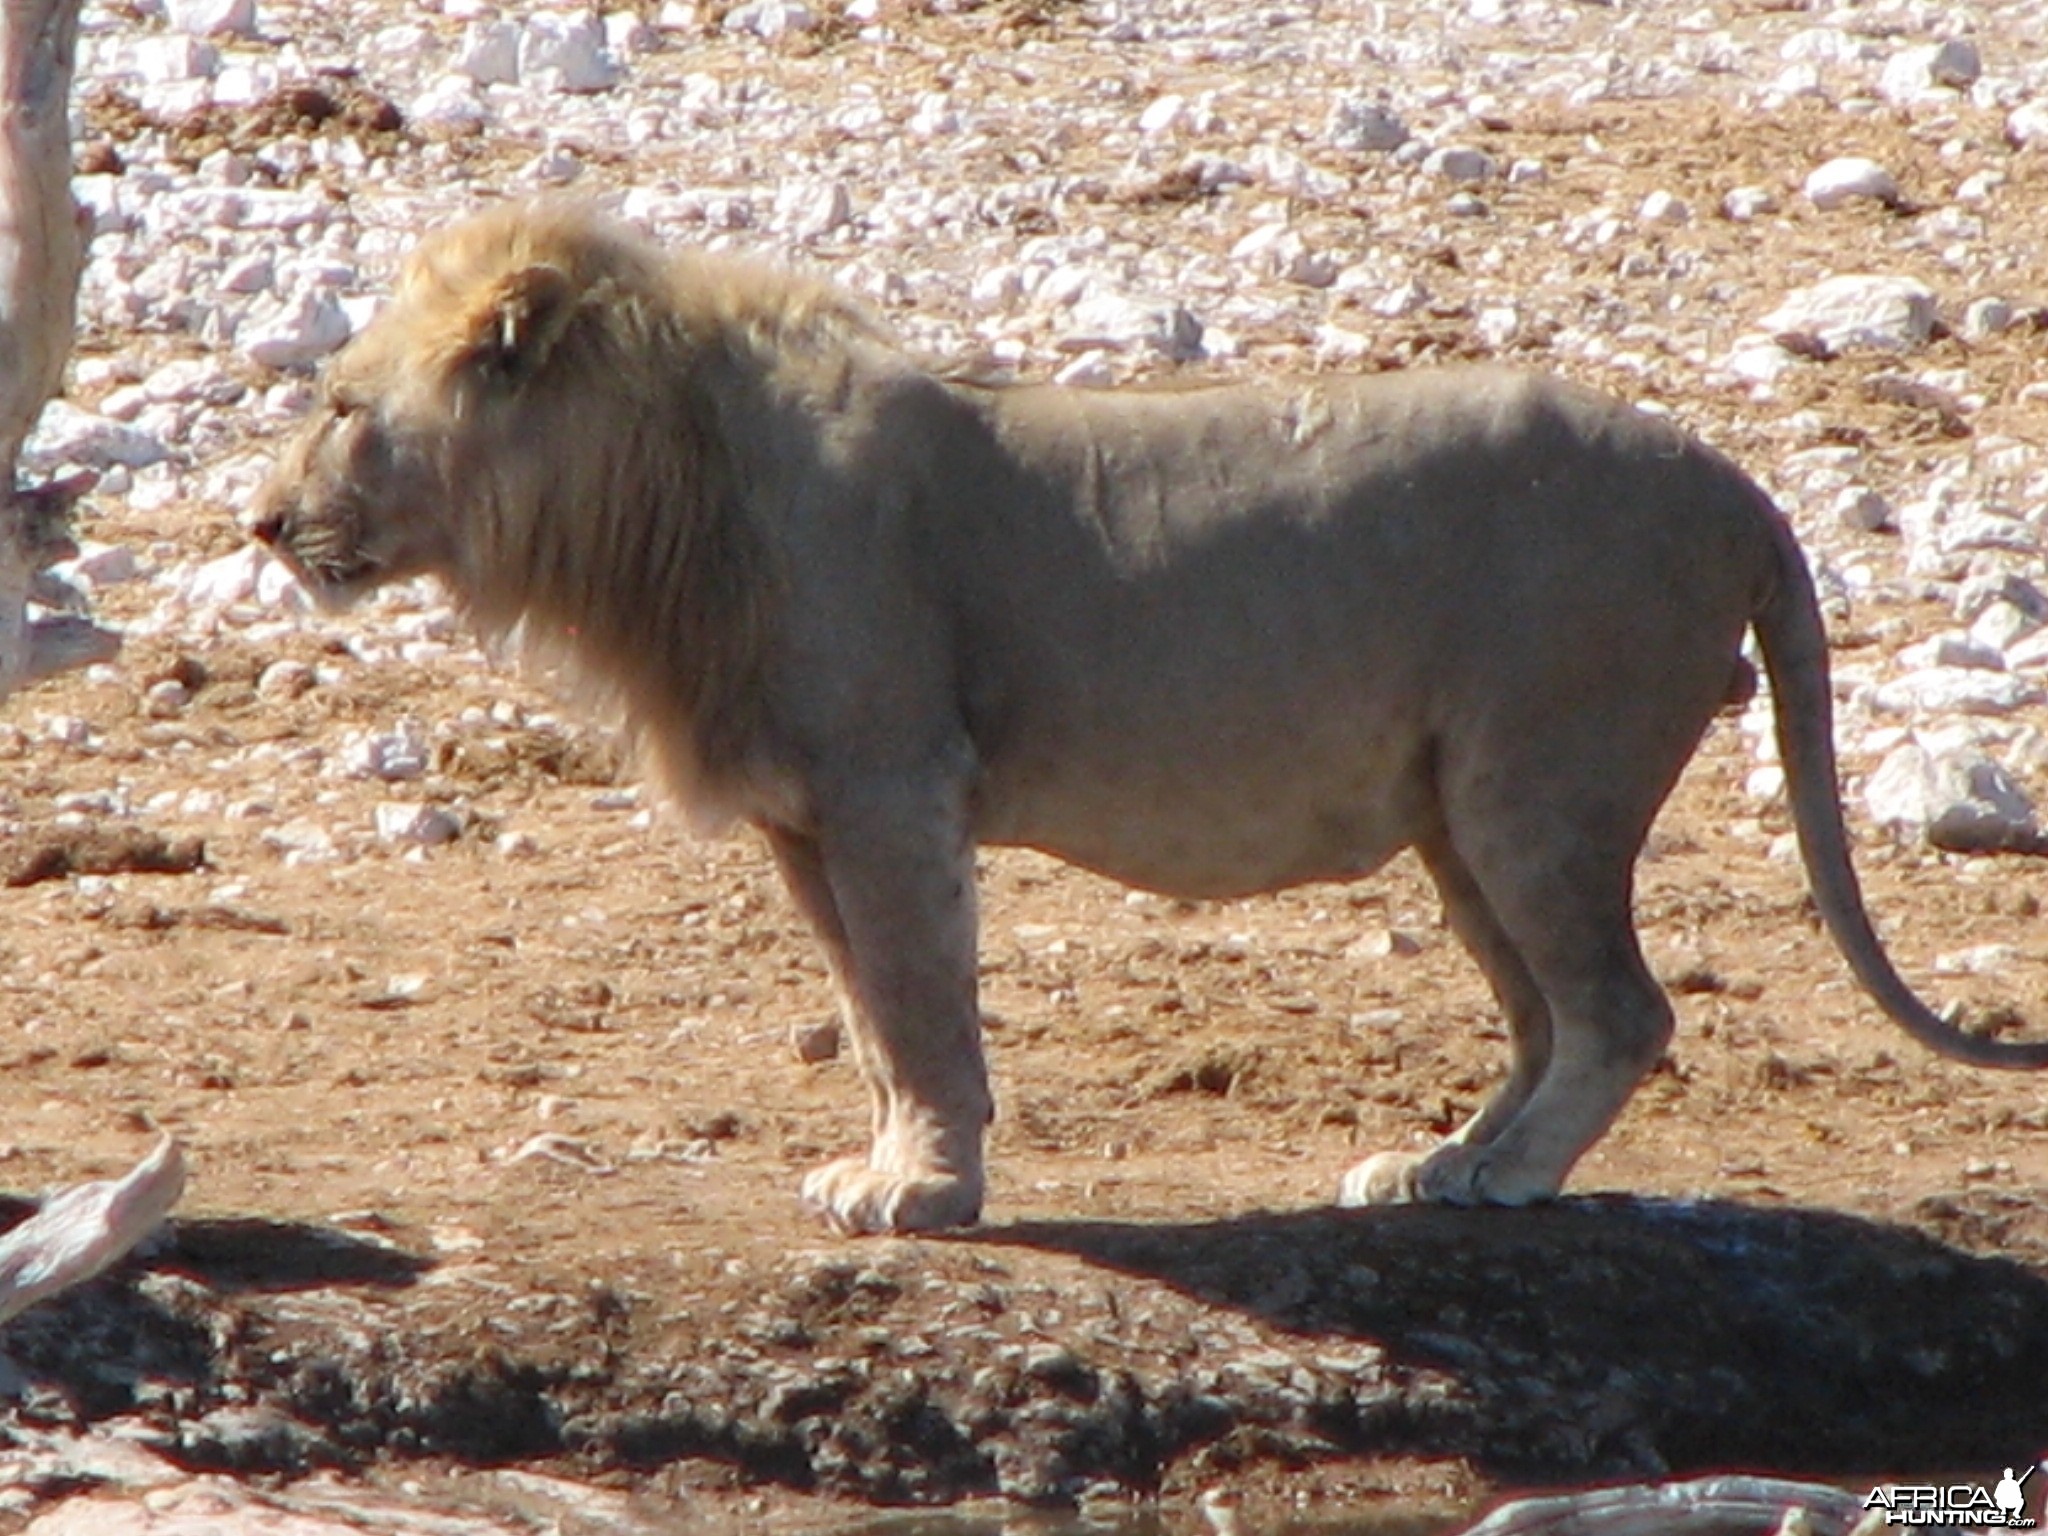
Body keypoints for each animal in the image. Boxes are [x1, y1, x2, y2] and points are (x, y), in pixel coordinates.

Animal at [251, 201, 2048, 1236]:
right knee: (1549, 1015)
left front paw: (927, 1194)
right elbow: (872, 1012)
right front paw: (892, 1166)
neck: (651, 499)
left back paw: (1503, 1175)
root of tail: (1734, 480)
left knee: (1618, 1010)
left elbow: (921, 1002)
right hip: (1458, 818)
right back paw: (1426, 1171)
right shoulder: (804, 820)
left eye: (341, 406)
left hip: (1540, 778)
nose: (263, 524)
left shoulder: (891, 785)